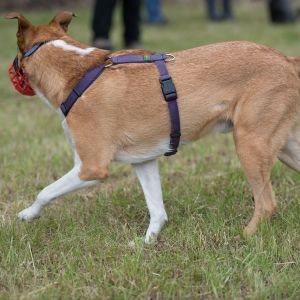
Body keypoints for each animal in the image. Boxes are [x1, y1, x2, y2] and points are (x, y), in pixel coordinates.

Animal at [5, 11, 300, 243]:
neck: (78, 74)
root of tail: (287, 60)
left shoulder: (90, 167)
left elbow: (45, 192)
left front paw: (27, 214)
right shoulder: (143, 161)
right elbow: (158, 211)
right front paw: (146, 243)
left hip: (250, 142)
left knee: (267, 204)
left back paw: (243, 236)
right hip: (286, 148)